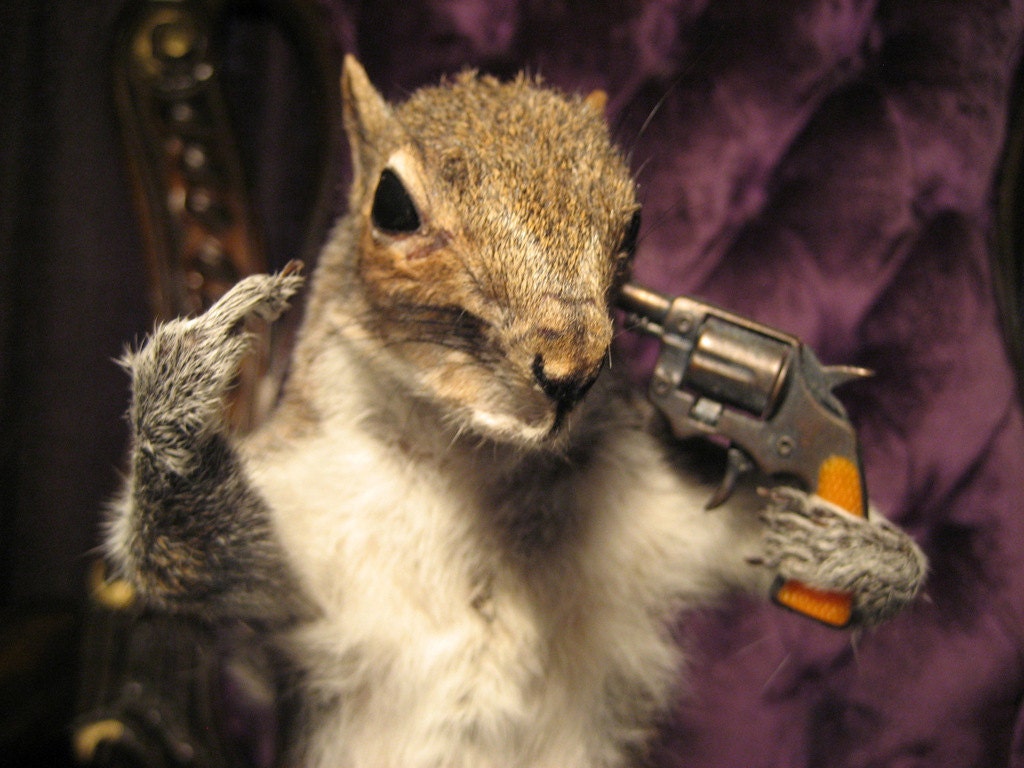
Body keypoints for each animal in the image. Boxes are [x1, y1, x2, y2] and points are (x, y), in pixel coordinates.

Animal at [105, 56, 927, 768]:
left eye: (634, 224)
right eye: (391, 206)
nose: (570, 371)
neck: (479, 464)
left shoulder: (668, 520)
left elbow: (767, 545)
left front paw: (857, 551)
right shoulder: (304, 535)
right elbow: (185, 561)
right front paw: (186, 383)